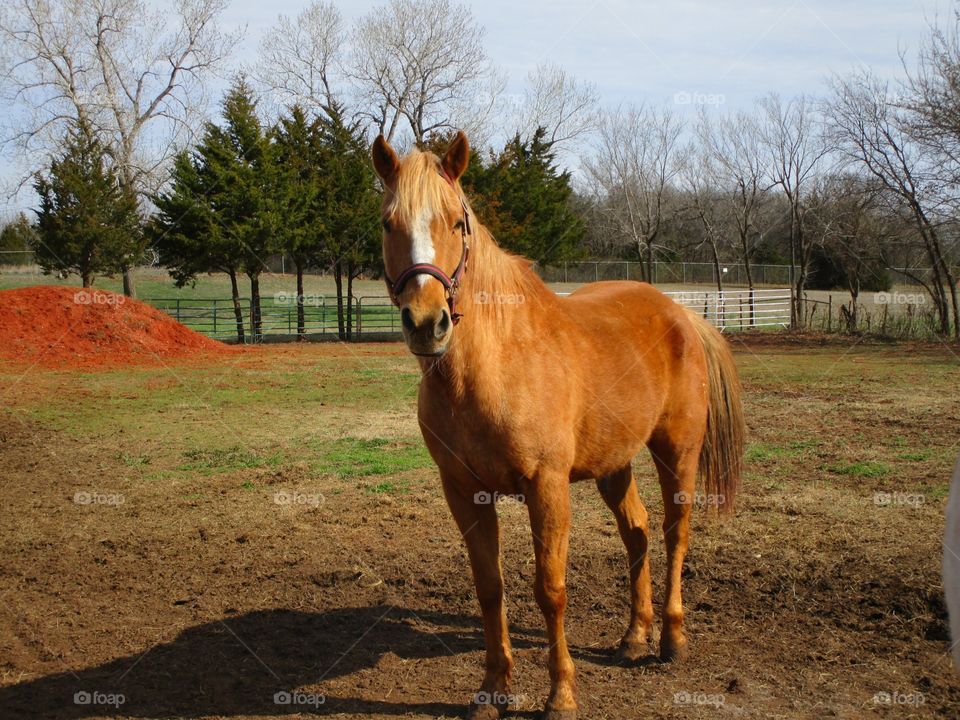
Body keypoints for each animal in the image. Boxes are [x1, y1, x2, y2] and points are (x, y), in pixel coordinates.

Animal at [372, 132, 748, 716]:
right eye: (389, 223)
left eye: (456, 222)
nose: (426, 322)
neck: (495, 362)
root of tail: (682, 314)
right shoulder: (463, 491)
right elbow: (490, 589)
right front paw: (493, 690)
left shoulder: (546, 487)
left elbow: (550, 590)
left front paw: (561, 694)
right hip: (615, 463)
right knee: (638, 532)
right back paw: (633, 637)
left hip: (677, 452)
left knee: (675, 532)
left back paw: (671, 639)